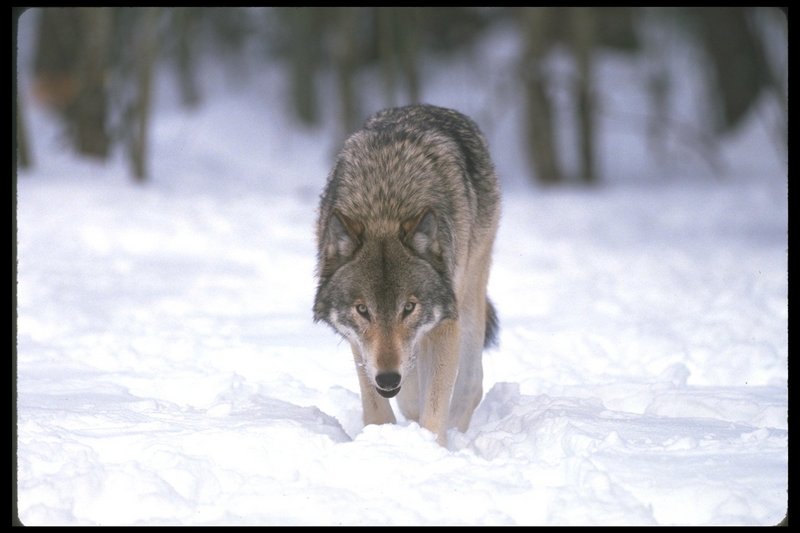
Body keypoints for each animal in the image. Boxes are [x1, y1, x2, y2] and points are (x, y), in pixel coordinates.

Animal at [312, 104, 500, 444]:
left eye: (409, 307)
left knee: (471, 384)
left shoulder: (445, 322)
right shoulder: (360, 345)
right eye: (363, 310)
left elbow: (434, 408)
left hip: (470, 292)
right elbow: (378, 407)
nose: (388, 378)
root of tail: (427, 107)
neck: (385, 205)